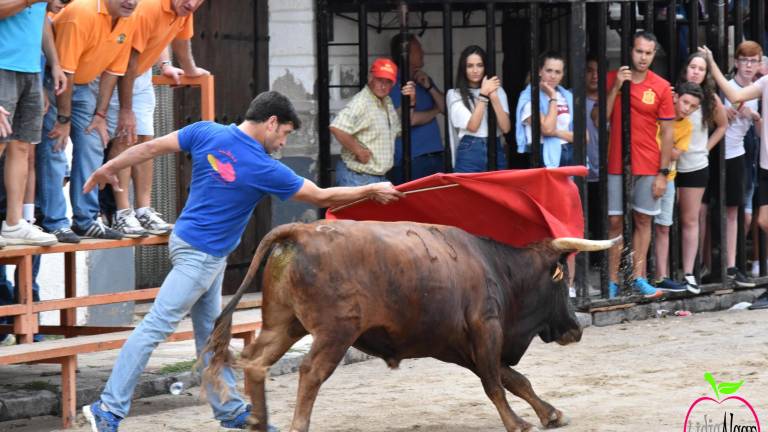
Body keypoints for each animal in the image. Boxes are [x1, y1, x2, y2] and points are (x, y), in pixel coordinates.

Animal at [202, 221, 616, 430]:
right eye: (561, 281)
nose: (576, 328)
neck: (498, 269)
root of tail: (301, 232)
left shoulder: (459, 345)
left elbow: (514, 378)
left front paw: (550, 414)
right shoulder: (486, 330)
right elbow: (496, 383)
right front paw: (518, 423)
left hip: (284, 324)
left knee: (256, 361)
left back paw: (258, 421)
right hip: (336, 333)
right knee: (310, 373)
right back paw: (295, 425)